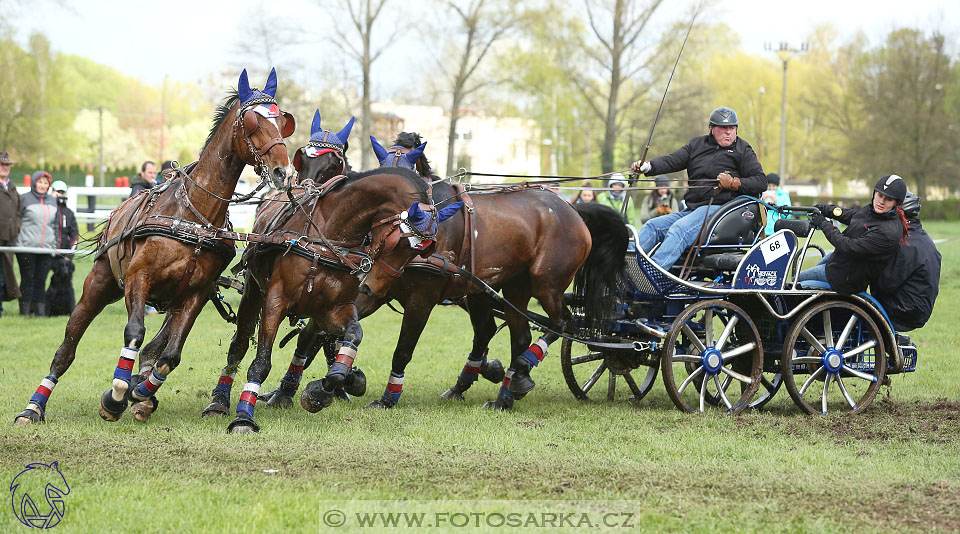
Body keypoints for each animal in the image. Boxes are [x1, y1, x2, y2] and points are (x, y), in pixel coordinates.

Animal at [13, 68, 294, 428]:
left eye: (282, 121)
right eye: (252, 122)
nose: (284, 171)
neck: (194, 214)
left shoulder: (196, 294)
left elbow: (169, 355)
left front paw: (141, 392)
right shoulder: (138, 277)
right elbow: (134, 331)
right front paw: (116, 394)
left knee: (154, 349)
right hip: (99, 285)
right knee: (67, 348)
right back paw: (34, 406)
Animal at [200, 114, 462, 436]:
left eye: (419, 252)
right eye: (397, 241)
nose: (373, 287)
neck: (329, 235)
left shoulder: (333, 307)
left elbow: (350, 338)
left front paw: (326, 387)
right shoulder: (276, 300)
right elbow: (261, 361)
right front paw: (244, 417)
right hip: (253, 291)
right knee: (239, 345)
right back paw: (220, 401)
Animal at [260, 132, 632, 412]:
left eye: (332, 164)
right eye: (303, 161)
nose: (302, 197)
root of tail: (573, 209)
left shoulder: (419, 298)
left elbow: (402, 349)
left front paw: (384, 397)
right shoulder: (373, 289)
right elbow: (315, 333)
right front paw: (294, 390)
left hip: (546, 284)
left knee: (561, 323)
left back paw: (520, 373)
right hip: (512, 288)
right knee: (517, 335)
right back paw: (505, 392)